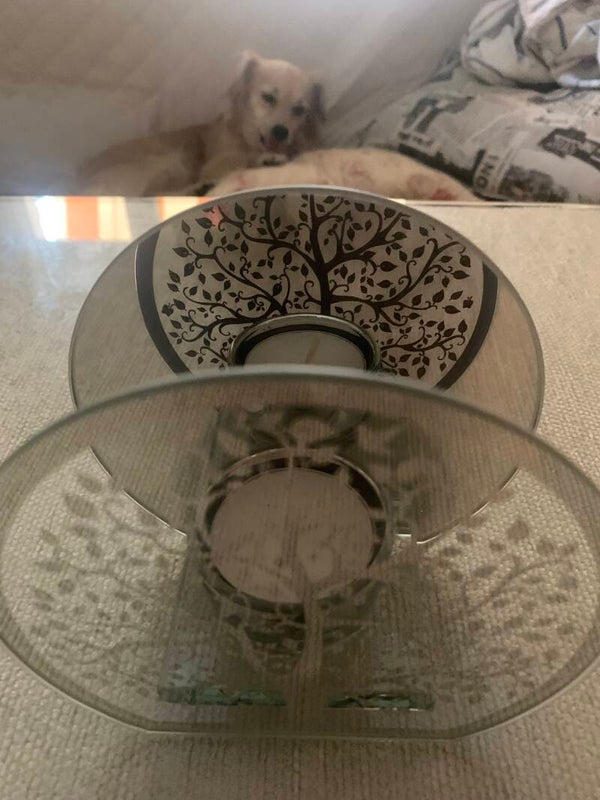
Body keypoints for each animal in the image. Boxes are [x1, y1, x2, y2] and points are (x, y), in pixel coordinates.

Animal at [79, 51, 323, 196]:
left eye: (299, 109)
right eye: (268, 98)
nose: (281, 132)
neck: (244, 137)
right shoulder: (216, 163)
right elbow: (240, 160)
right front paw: (265, 159)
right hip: (166, 162)